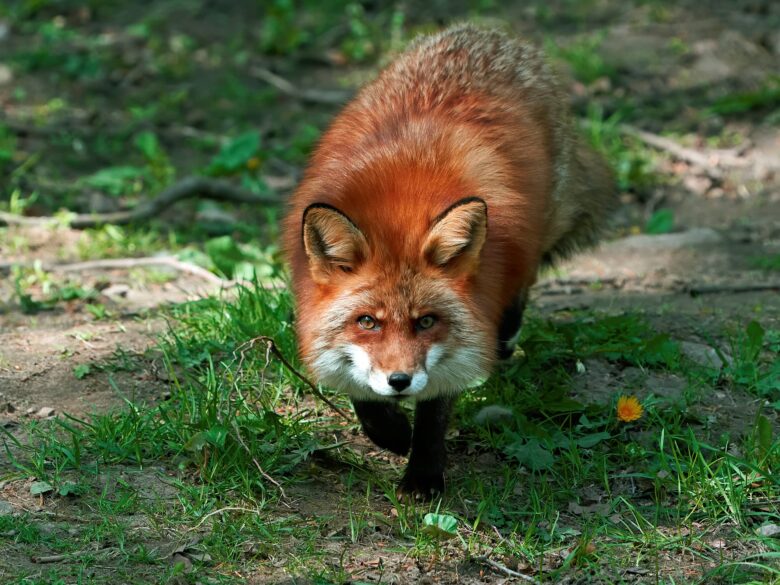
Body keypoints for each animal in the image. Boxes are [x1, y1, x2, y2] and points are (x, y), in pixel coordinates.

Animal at [282, 24, 616, 498]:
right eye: (367, 322)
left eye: (426, 321)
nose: (399, 382)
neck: (398, 206)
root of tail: (487, 34)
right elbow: (362, 395)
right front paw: (391, 433)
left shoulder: (465, 332)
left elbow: (434, 412)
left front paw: (423, 473)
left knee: (523, 285)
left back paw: (506, 338)